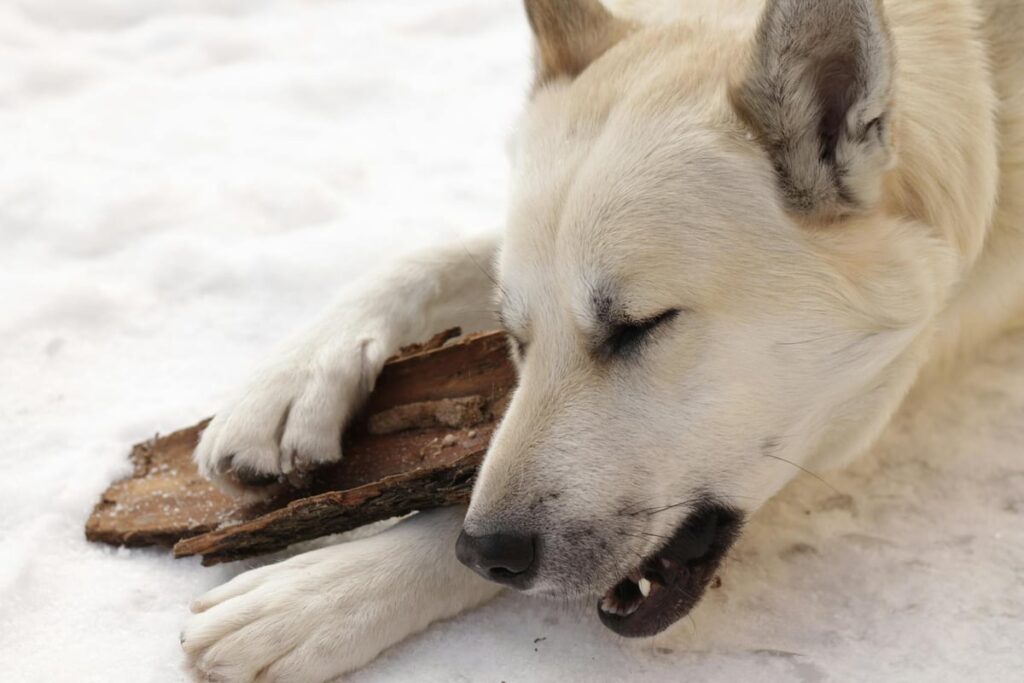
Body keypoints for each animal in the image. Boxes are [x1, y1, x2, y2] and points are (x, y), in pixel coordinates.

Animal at [181, 0, 1024, 680]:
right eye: (515, 336)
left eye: (638, 326)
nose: (485, 552)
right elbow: (435, 255)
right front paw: (288, 385)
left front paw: (326, 592)